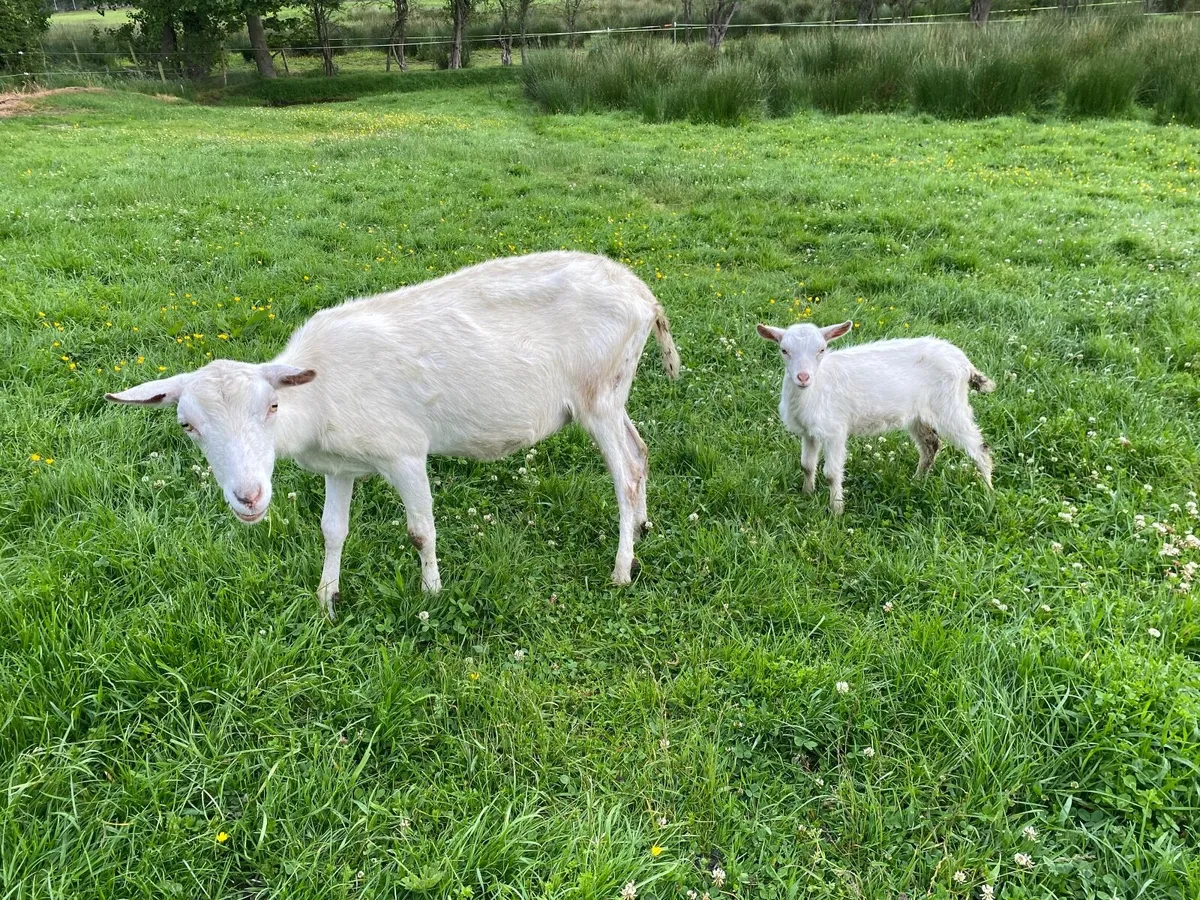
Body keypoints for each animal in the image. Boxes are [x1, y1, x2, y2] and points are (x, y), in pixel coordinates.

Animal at [107, 251, 681, 619]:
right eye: (188, 426)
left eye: (271, 406)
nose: (248, 498)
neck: (316, 399)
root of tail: (646, 296)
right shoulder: (340, 466)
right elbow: (332, 530)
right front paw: (327, 597)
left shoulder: (405, 452)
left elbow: (421, 530)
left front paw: (431, 593)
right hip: (614, 395)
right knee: (641, 450)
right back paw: (644, 526)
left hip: (598, 394)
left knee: (626, 474)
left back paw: (622, 567)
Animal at [756, 321, 994, 514]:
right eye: (784, 350)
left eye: (821, 350)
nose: (803, 377)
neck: (815, 388)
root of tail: (964, 363)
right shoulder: (809, 432)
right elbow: (806, 465)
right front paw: (806, 494)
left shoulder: (835, 431)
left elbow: (832, 473)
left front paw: (836, 510)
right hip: (919, 415)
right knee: (931, 445)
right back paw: (917, 481)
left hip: (950, 406)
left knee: (979, 447)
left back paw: (988, 490)